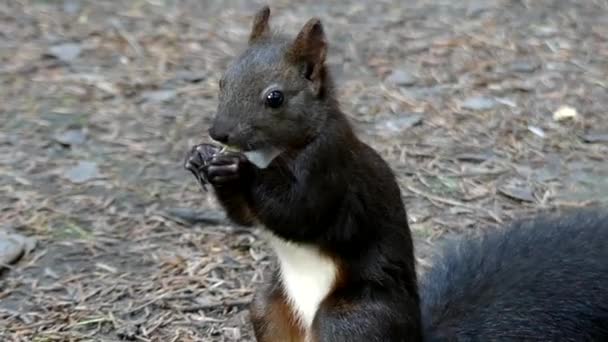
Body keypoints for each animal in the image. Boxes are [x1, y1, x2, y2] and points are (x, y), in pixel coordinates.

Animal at [185, 6, 608, 342]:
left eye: (275, 98)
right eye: (222, 80)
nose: (218, 133)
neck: (273, 153)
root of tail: (415, 337)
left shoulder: (330, 165)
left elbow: (300, 213)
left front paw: (237, 169)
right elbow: (246, 217)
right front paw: (201, 157)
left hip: (350, 320)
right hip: (270, 307)